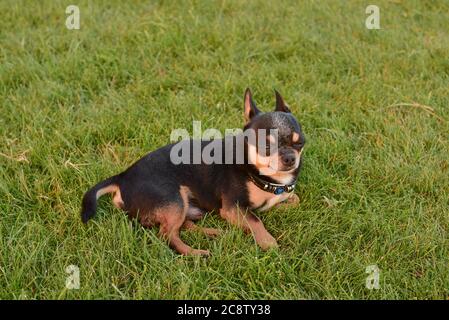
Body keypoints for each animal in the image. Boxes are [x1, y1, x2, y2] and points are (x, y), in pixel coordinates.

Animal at [80, 89, 304, 256]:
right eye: (266, 146)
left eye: (300, 142)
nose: (289, 158)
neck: (258, 172)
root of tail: (123, 176)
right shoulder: (233, 208)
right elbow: (256, 221)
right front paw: (269, 243)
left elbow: (293, 200)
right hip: (173, 199)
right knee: (167, 235)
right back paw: (195, 253)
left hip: (182, 206)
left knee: (182, 225)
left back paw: (214, 232)